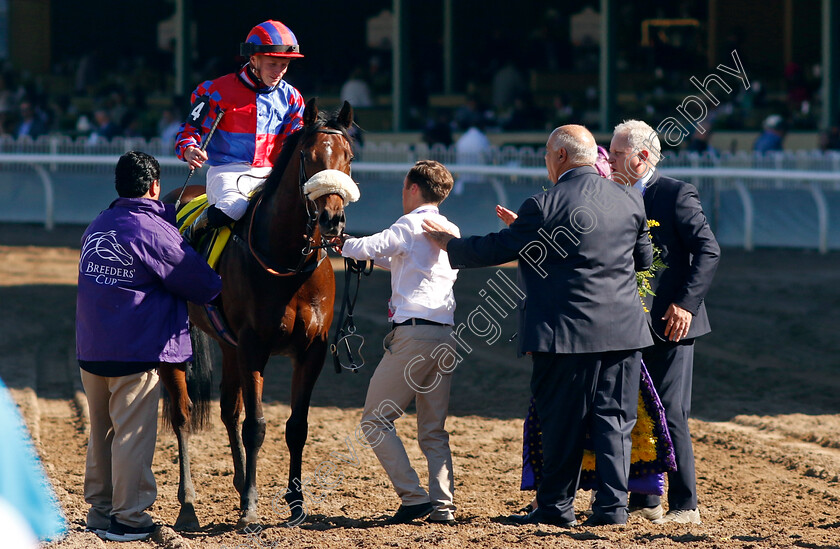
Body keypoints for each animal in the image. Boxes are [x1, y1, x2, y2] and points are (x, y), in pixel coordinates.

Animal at [159, 97, 356, 528]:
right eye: (309, 157)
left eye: (348, 157)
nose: (333, 219)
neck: (288, 265)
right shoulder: (254, 346)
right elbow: (256, 425)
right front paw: (251, 505)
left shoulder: (312, 349)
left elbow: (296, 426)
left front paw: (295, 503)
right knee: (182, 413)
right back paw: (188, 505)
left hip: (227, 343)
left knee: (228, 410)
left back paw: (234, 484)